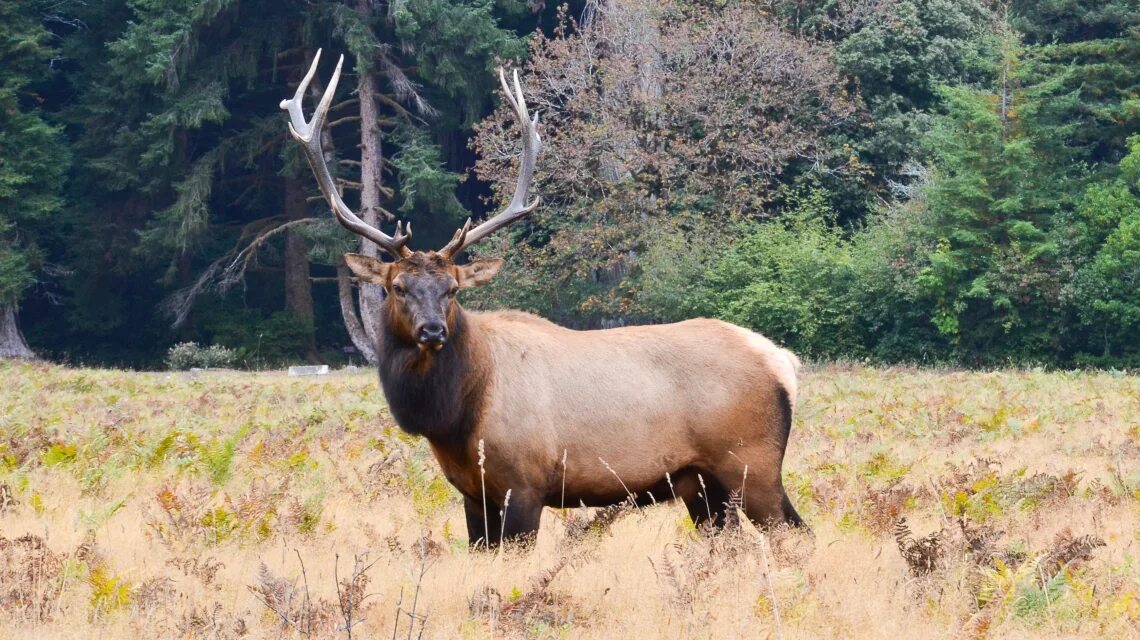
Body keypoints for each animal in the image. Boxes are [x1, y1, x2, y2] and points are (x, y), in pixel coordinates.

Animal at [283, 52, 802, 547]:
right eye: (397, 287)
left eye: (453, 290)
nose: (433, 330)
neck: (458, 416)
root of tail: (782, 361)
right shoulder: (472, 493)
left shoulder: (525, 485)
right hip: (699, 483)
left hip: (752, 462)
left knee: (794, 534)